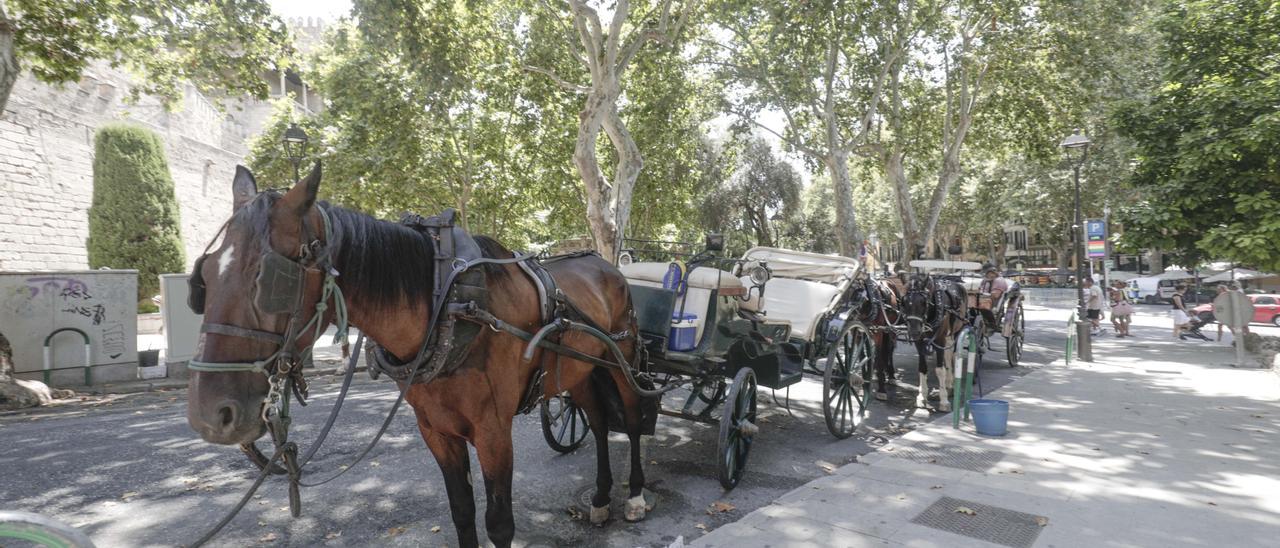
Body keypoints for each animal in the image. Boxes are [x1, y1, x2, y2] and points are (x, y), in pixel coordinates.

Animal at [186, 165, 660, 545]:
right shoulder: (436, 429)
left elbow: (499, 523)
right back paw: (600, 499)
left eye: (268, 280)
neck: (448, 303)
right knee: (598, 422)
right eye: (203, 278)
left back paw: (635, 496)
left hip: (622, 363)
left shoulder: (493, 431)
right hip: (579, 371)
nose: (210, 416)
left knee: (633, 419)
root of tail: (609, 265)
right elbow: (462, 512)